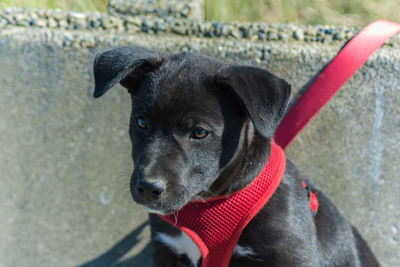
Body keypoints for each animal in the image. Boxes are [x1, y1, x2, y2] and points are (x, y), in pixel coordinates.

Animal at [93, 47, 378, 266]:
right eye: (141, 122)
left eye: (199, 132)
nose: (148, 188)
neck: (207, 203)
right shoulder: (167, 250)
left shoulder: (292, 257)